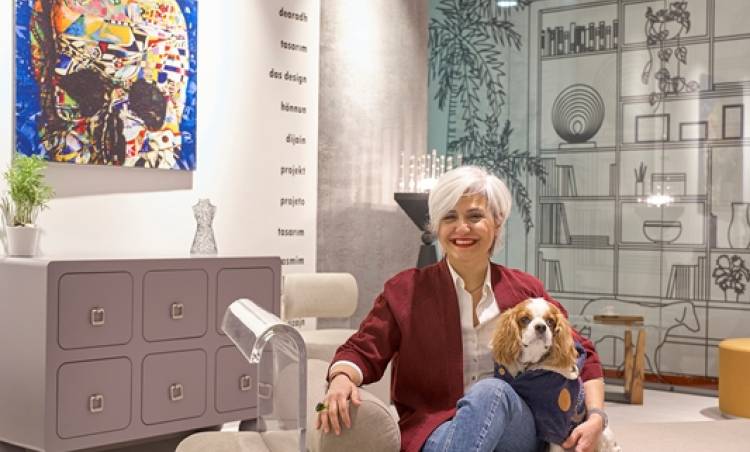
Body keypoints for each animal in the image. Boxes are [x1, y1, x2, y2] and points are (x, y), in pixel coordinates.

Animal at [491, 298, 621, 452]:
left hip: (603, 436)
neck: (531, 364)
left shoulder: (556, 422)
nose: (541, 327)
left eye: (550, 321)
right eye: (525, 319)